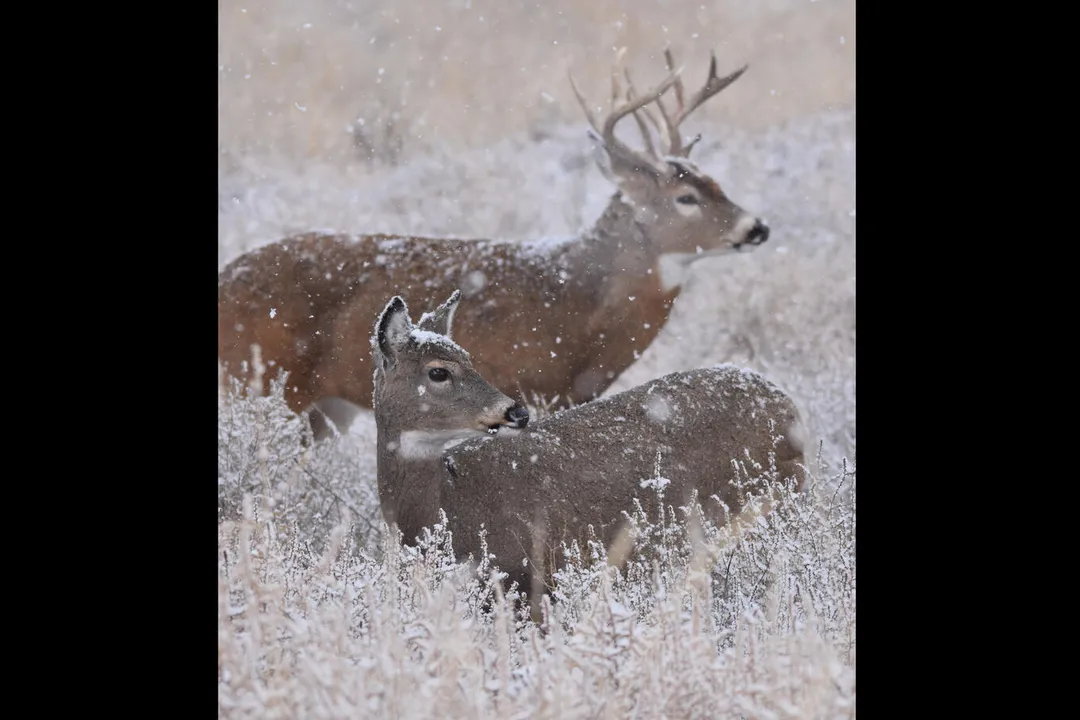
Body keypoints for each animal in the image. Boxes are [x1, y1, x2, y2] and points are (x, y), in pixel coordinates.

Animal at [218, 47, 772, 440]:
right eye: (686, 197)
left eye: (717, 182)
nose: (758, 227)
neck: (583, 299)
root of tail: (225, 278)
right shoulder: (537, 383)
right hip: (257, 383)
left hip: (325, 408)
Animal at [372, 290, 806, 614]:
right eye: (439, 371)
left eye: (469, 359)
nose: (517, 411)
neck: (448, 500)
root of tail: (784, 402)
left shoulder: (524, 576)